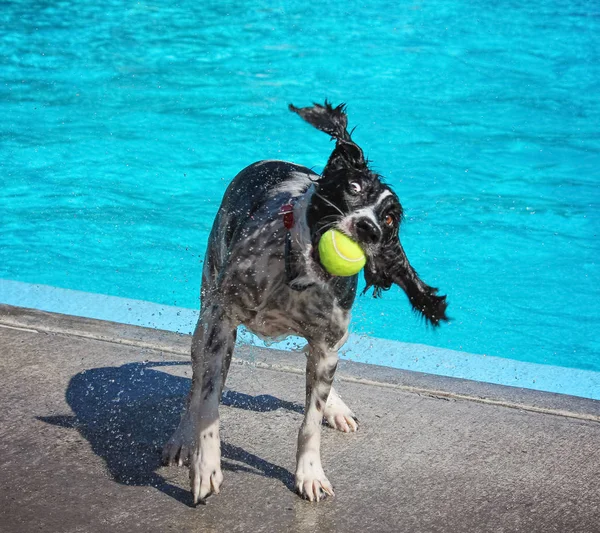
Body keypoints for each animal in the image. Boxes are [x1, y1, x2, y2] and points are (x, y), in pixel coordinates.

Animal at [162, 101, 448, 502]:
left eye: (390, 218)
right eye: (353, 187)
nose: (368, 228)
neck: (293, 275)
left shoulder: (327, 345)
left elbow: (310, 421)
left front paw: (310, 473)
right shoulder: (221, 324)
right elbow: (207, 403)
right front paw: (205, 465)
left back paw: (336, 407)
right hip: (205, 315)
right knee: (195, 383)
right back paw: (183, 440)